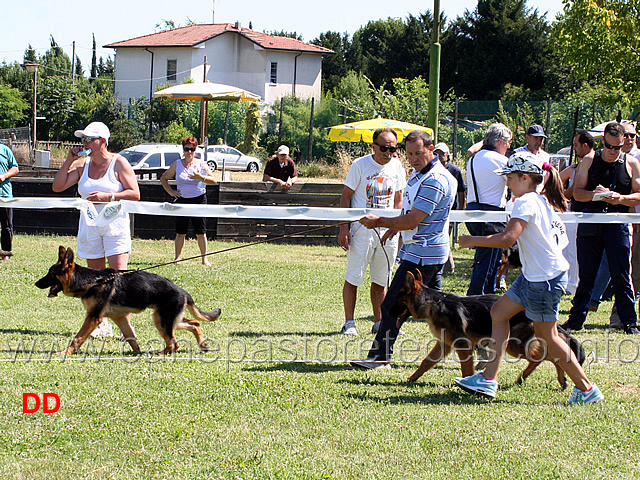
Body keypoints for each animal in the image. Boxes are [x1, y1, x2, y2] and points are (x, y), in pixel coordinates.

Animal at [37, 248, 224, 356]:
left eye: (50, 273)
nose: (36, 283)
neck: (91, 281)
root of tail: (183, 291)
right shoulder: (119, 318)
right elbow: (131, 337)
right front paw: (137, 352)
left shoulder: (93, 318)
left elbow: (78, 338)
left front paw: (64, 353)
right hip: (168, 319)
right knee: (194, 324)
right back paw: (203, 345)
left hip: (162, 322)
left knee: (174, 343)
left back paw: (159, 353)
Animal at [392, 270, 584, 390]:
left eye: (398, 298)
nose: (386, 309)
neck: (433, 304)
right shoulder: (444, 344)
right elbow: (426, 362)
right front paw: (412, 378)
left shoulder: (463, 346)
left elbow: (466, 368)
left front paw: (465, 382)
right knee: (548, 356)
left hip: (514, 346)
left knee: (546, 357)